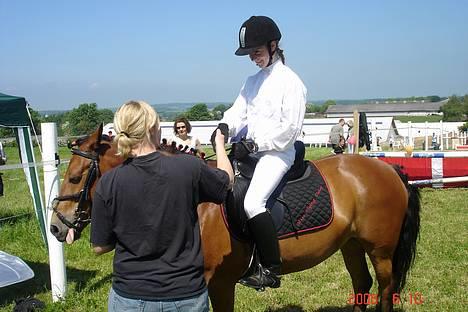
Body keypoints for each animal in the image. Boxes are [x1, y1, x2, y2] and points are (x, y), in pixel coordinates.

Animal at [50, 125, 420, 312]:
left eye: (75, 177)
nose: (55, 227)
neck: (199, 201)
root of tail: (388, 168)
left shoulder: (219, 282)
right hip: (351, 244)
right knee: (361, 286)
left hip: (381, 250)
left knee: (385, 288)